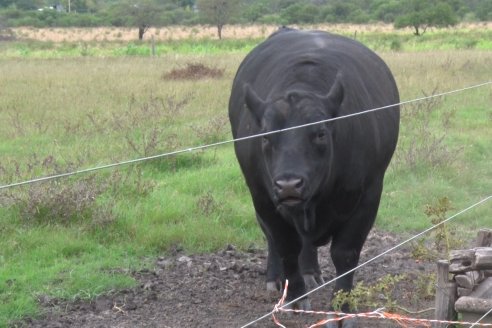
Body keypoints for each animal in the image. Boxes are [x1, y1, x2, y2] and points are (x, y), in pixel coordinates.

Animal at [227, 28, 400, 322]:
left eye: (320, 133)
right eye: (265, 136)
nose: (289, 185)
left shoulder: (368, 195)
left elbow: (345, 254)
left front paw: (342, 303)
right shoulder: (263, 198)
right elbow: (285, 246)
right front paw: (296, 298)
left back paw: (311, 272)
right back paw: (277, 278)